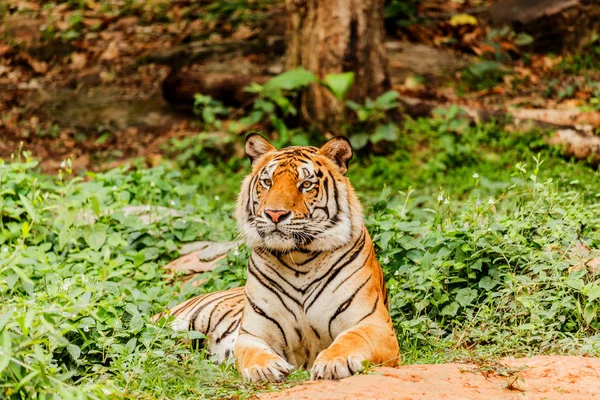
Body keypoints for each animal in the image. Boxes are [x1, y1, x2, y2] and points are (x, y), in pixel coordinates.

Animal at [161, 134, 404, 382]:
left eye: (306, 185)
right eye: (267, 182)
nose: (275, 214)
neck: (300, 258)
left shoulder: (373, 324)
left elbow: (351, 339)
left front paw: (334, 362)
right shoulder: (253, 332)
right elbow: (253, 352)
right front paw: (265, 368)